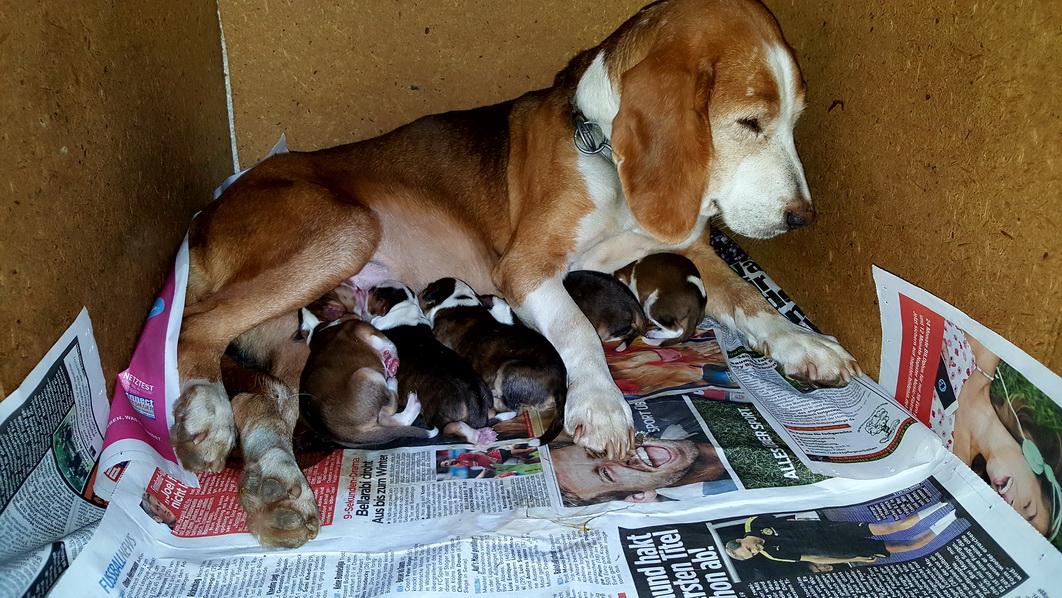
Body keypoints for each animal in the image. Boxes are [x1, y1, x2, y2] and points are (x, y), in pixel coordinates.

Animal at [295, 312, 435, 446]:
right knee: (390, 406)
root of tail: (336, 432)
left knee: (387, 419)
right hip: (369, 374)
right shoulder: (367, 331)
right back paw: (398, 387)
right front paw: (390, 360)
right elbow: (388, 344)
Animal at [363, 282, 499, 446]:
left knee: (452, 427)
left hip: (439, 415)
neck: (402, 305)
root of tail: (477, 405)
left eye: (375, 292)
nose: (368, 288)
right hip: (489, 406)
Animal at [418, 280, 569, 443]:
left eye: (428, 287)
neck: (458, 300)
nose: (420, 291)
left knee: (511, 407)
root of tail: (560, 386)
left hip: (509, 368)